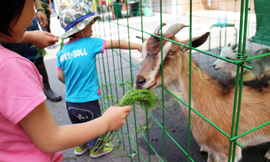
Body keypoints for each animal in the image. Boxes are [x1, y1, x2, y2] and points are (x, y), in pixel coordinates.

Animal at [135, 23, 270, 162]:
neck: (212, 98)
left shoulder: (228, 151)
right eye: (142, 51)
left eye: (172, 51)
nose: (139, 81)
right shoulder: (212, 150)